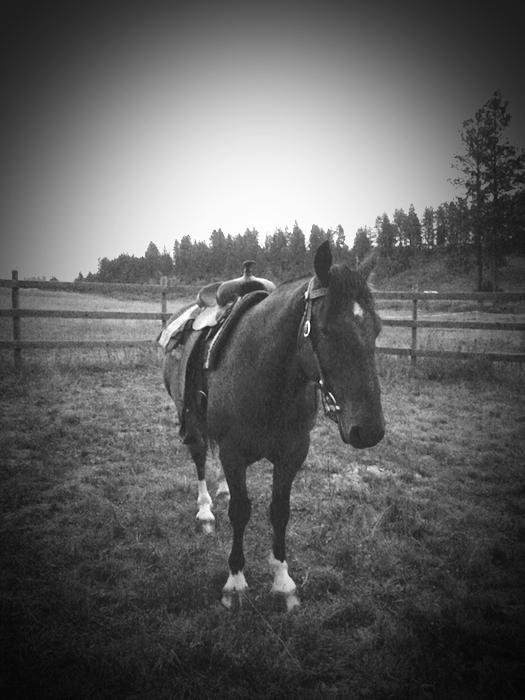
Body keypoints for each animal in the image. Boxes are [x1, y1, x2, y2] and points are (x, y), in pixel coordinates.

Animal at [163, 241, 385, 610]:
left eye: (377, 328)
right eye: (326, 329)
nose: (369, 430)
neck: (265, 374)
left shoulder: (292, 454)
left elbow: (280, 511)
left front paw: (283, 582)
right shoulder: (234, 452)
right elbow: (240, 511)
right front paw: (235, 582)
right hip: (191, 419)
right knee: (199, 457)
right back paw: (206, 511)